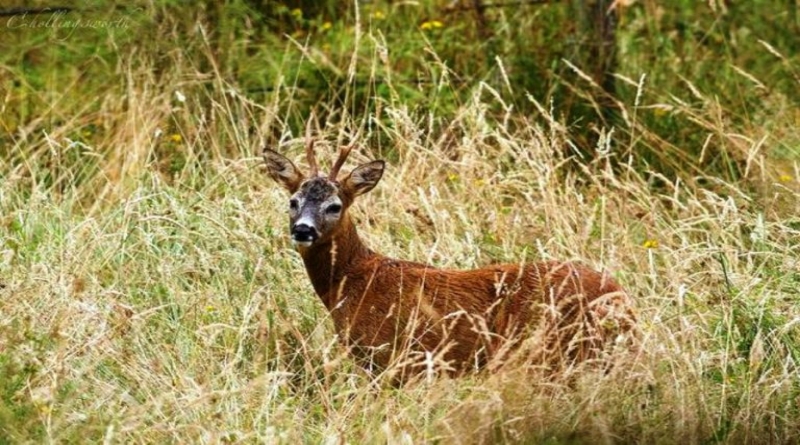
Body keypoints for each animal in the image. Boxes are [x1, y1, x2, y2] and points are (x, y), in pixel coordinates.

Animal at [262, 123, 636, 380]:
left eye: (335, 206)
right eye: (293, 201)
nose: (303, 230)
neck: (351, 281)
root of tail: (622, 299)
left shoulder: (390, 356)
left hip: (555, 350)